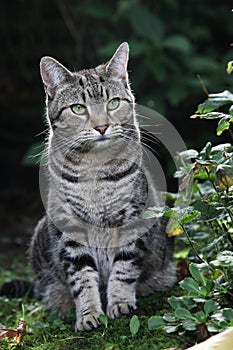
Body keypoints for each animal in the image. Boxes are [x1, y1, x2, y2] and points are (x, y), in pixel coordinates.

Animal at [20, 43, 176, 330]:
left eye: (112, 103)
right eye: (78, 108)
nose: (102, 126)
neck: (94, 168)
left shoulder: (133, 219)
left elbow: (124, 269)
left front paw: (120, 303)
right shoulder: (70, 229)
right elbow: (81, 277)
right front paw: (89, 314)